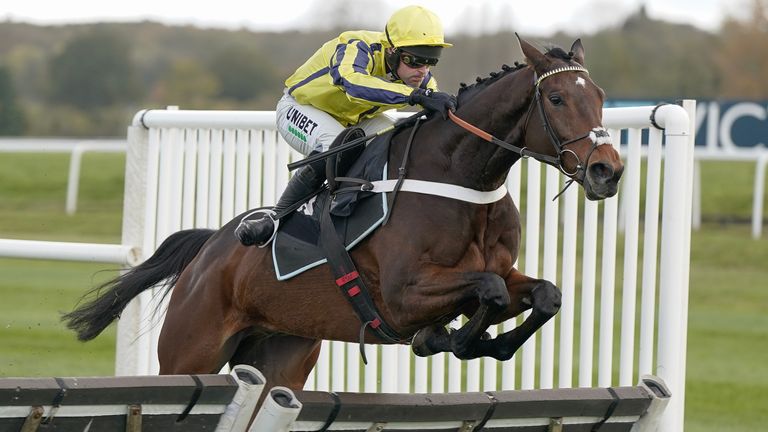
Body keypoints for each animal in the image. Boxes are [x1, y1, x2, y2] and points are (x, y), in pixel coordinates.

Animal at [64, 37, 624, 392]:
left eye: (600, 96)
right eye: (556, 97)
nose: (607, 170)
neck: (461, 179)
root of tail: (208, 252)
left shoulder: (502, 274)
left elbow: (543, 295)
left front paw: (485, 342)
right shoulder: (401, 297)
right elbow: (484, 292)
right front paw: (445, 338)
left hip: (280, 358)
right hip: (188, 354)